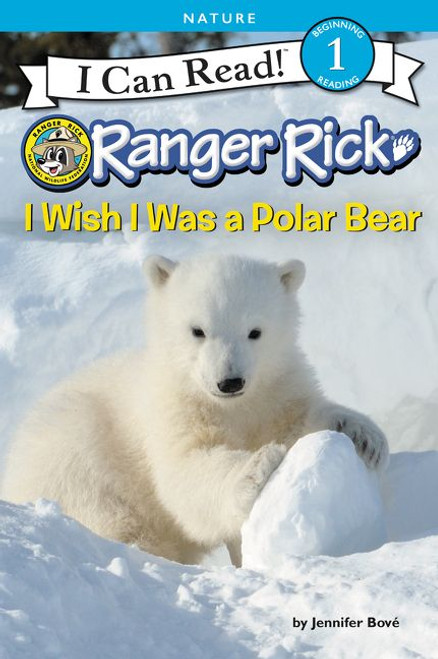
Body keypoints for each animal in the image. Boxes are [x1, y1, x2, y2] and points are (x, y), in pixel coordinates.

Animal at [0, 254, 389, 566]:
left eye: (255, 331)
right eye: (198, 330)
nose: (230, 381)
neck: (230, 407)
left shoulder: (273, 390)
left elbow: (297, 417)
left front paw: (364, 436)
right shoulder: (171, 409)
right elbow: (185, 472)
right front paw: (258, 465)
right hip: (69, 450)